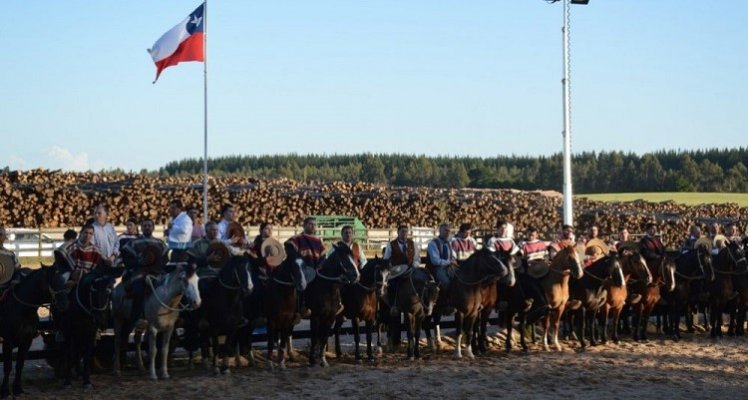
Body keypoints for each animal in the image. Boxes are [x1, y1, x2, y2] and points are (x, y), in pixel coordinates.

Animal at [0, 258, 68, 398]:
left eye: (64, 281)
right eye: (53, 282)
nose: (64, 304)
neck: (21, 309)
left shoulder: (26, 341)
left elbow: (19, 365)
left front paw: (17, 389)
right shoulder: (8, 342)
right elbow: (8, 366)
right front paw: (4, 391)